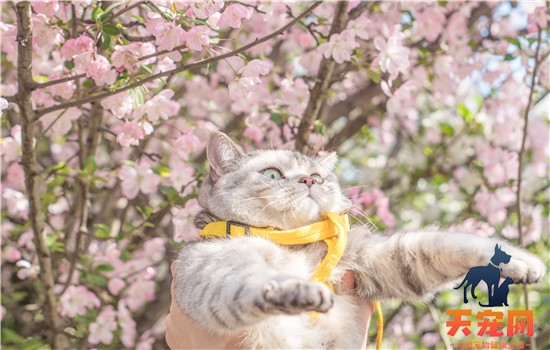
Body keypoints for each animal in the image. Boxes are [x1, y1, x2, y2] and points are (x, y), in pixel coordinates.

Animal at [175, 133, 544, 348]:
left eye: (319, 176)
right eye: (272, 174)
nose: (309, 180)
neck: (295, 240)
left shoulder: (382, 258)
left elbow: (444, 244)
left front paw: (520, 261)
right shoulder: (209, 269)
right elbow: (248, 281)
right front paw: (294, 289)